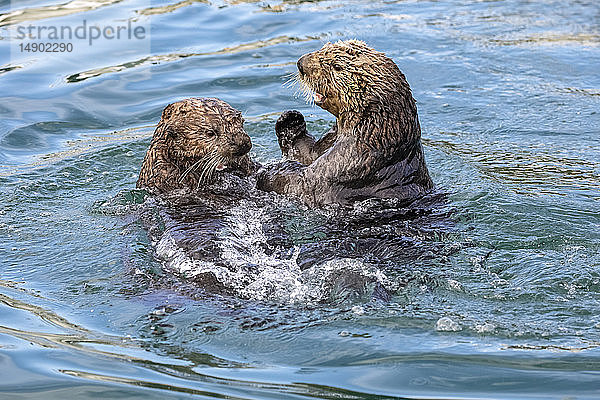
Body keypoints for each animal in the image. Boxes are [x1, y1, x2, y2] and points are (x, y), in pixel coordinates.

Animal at [255, 40, 434, 206]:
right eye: (324, 47)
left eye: (336, 66)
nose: (301, 63)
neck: (376, 135)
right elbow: (307, 153)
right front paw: (291, 120)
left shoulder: (349, 164)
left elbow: (302, 183)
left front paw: (273, 170)